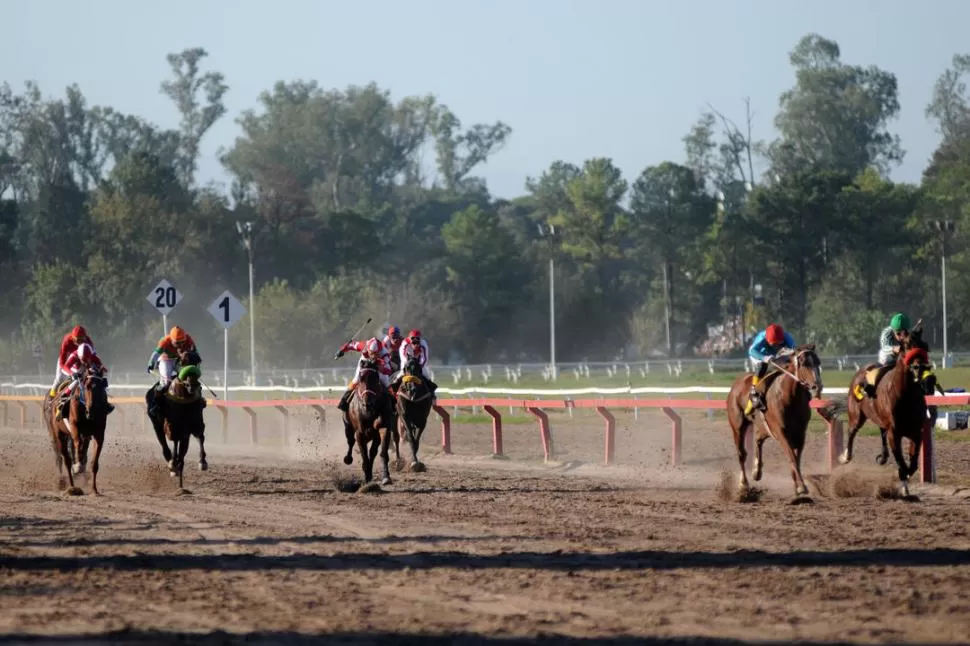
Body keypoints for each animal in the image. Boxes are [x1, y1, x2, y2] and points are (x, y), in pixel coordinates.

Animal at [724, 346, 820, 498]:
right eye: (804, 363)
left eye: (818, 362)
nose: (817, 386)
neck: (790, 397)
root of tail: (736, 384)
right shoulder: (780, 431)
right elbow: (791, 456)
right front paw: (801, 487)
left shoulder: (801, 433)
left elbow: (797, 458)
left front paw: (797, 485)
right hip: (738, 426)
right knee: (741, 454)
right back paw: (743, 484)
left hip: (765, 427)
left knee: (758, 439)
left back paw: (756, 471)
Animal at [840, 346, 932, 498]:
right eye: (906, 349)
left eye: (922, 346)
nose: (920, 367)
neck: (906, 397)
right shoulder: (894, 433)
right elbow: (901, 462)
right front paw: (903, 484)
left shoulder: (916, 432)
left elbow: (912, 465)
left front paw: (905, 484)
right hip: (856, 415)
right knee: (852, 432)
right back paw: (845, 457)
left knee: (881, 431)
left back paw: (883, 457)